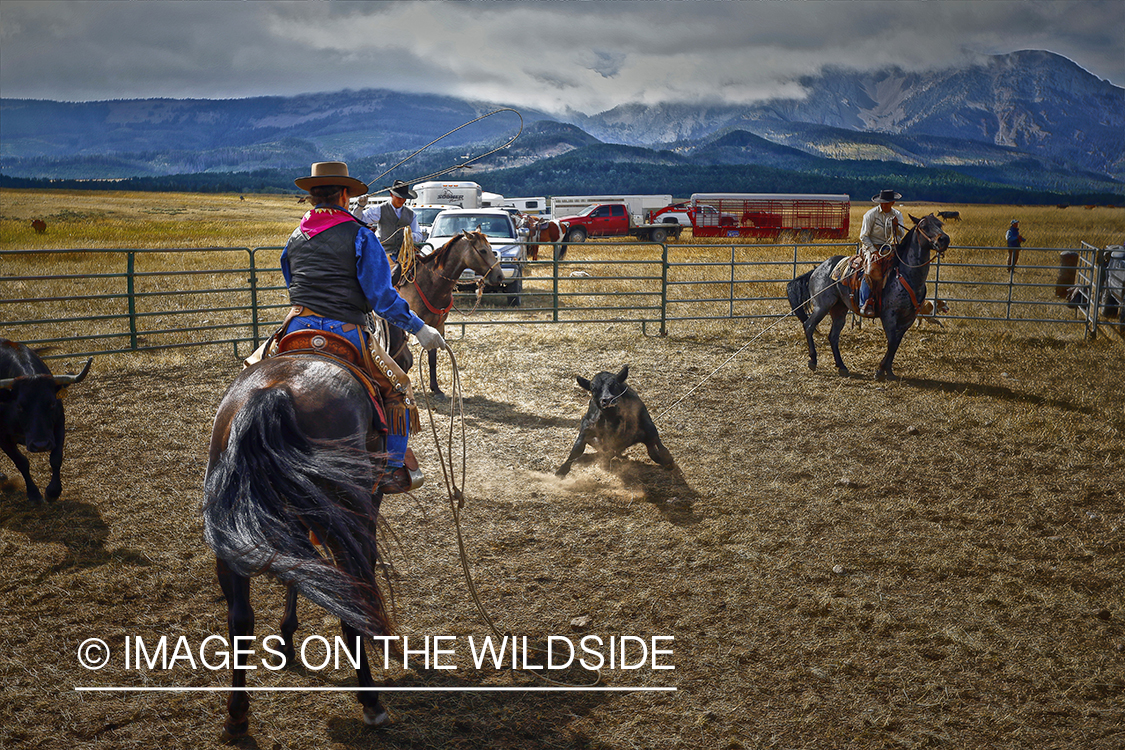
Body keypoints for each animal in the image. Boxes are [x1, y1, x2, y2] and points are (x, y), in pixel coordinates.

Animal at [0, 339, 92, 503]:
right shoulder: (3, 438)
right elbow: (21, 462)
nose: (40, 445)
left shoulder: (59, 424)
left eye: (52, 403)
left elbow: (56, 458)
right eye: (19, 406)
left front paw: (53, 492)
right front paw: (33, 493)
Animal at [396, 229, 501, 395]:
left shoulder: (437, 326)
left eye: (491, 248)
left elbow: (432, 358)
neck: (431, 282)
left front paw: (436, 388)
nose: (499, 275)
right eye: (483, 250)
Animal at [787, 213, 954, 382]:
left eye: (940, 224)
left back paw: (842, 367)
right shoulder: (889, 316)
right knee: (809, 325)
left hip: (839, 309)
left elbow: (896, 344)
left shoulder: (908, 319)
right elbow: (891, 342)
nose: (944, 239)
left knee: (833, 336)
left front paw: (889, 371)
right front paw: (880, 371)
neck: (906, 275)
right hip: (822, 306)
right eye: (924, 227)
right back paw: (813, 361)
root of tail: (817, 269)